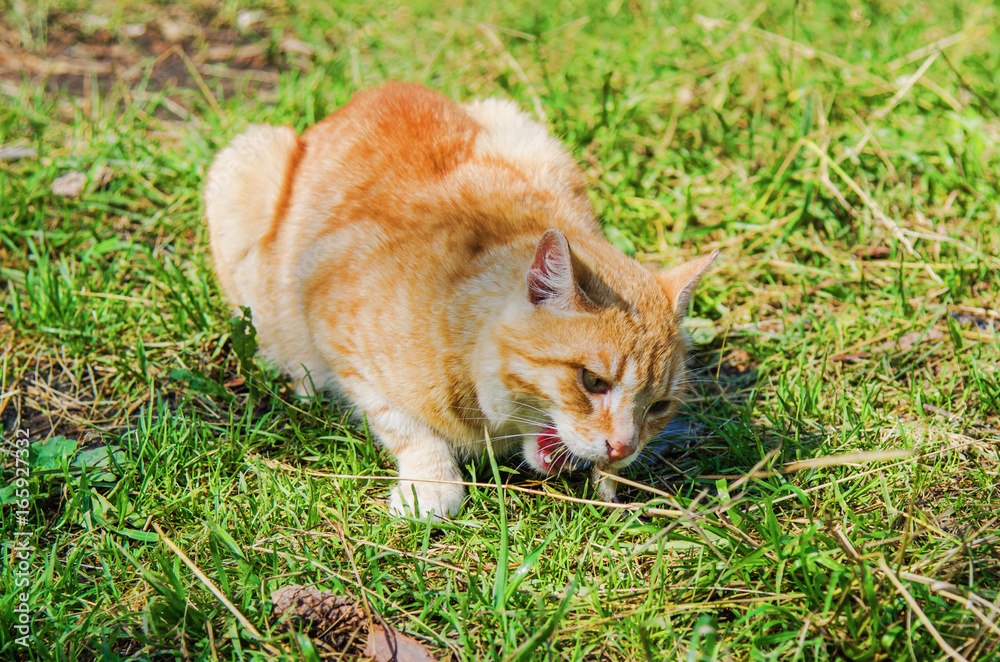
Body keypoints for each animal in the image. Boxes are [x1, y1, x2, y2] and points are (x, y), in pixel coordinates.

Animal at [205, 81, 720, 520]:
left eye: (659, 407)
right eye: (593, 382)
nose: (624, 448)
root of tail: (369, 93)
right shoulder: (328, 313)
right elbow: (404, 425)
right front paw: (431, 484)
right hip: (246, 168)